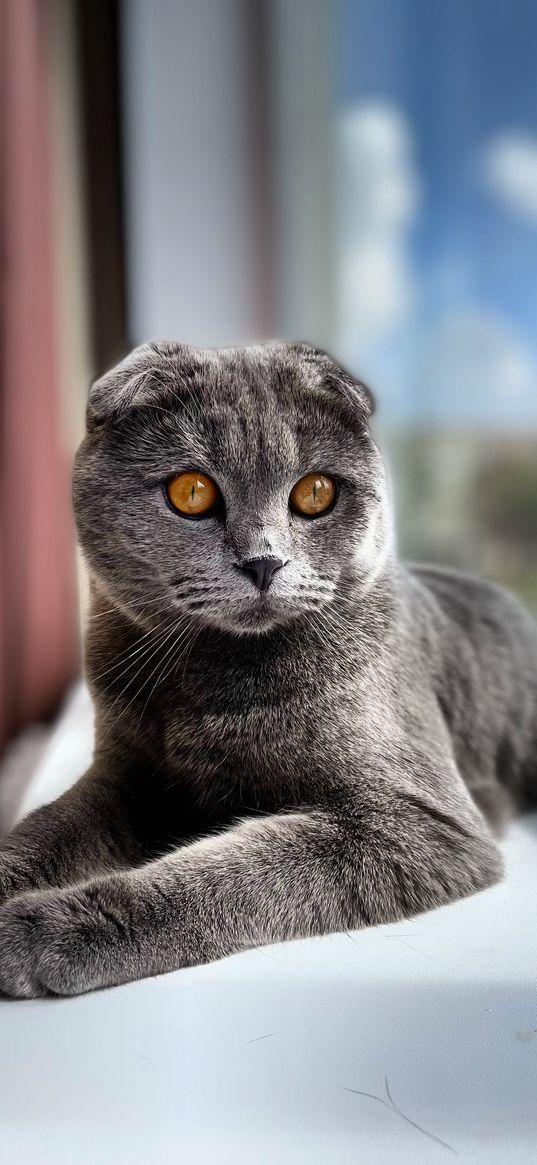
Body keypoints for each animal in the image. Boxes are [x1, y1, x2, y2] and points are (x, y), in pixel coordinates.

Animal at [1, 340, 535, 1001]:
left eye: (315, 493)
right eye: (191, 492)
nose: (264, 562)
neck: (218, 688)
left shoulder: (419, 821)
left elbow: (226, 875)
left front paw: (43, 928)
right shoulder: (125, 778)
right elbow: (46, 828)